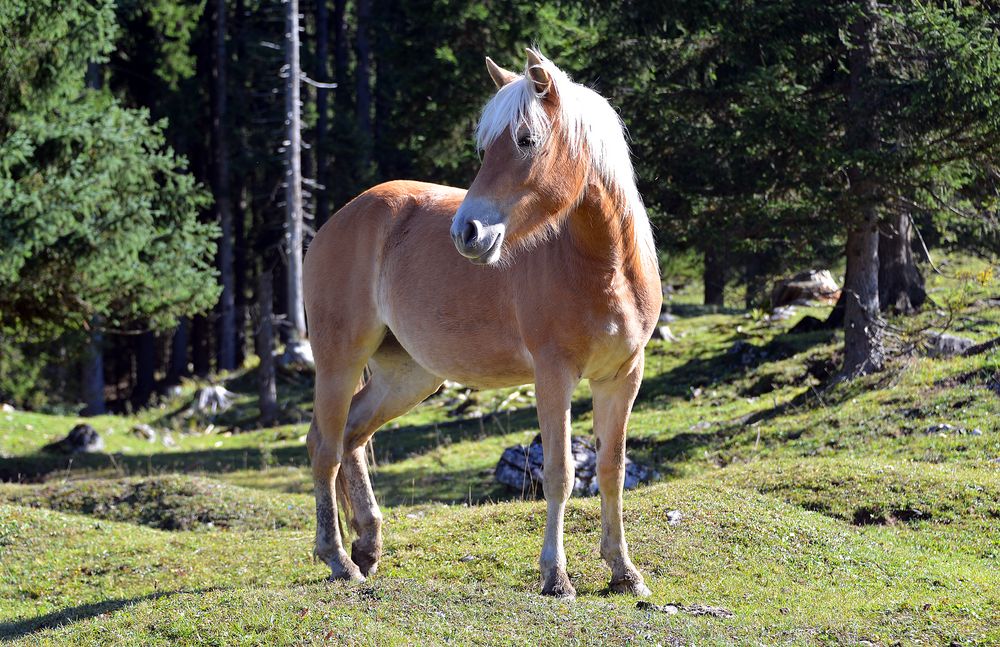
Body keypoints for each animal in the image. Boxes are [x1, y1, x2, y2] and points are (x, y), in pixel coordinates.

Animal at [304, 48, 664, 600]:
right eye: (484, 145)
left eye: (526, 139)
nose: (467, 232)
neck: (605, 269)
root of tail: (338, 221)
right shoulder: (553, 375)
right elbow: (558, 473)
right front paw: (556, 577)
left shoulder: (622, 376)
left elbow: (611, 469)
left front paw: (624, 571)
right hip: (338, 362)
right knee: (324, 449)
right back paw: (338, 559)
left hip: (407, 376)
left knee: (351, 437)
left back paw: (367, 546)